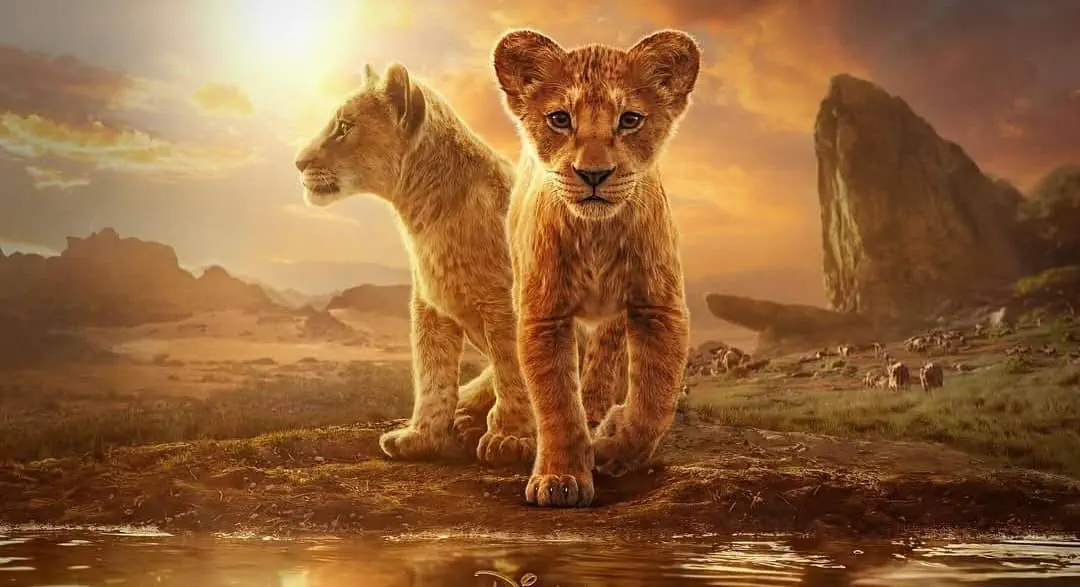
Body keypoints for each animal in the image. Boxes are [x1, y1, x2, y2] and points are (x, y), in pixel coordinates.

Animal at [293, 62, 538, 465]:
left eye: (344, 126)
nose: (298, 163)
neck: (425, 213)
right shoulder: (429, 303)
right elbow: (432, 370)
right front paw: (421, 436)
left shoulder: (507, 300)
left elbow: (513, 366)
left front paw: (510, 437)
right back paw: (466, 418)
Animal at [493, 29, 699, 507]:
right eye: (560, 119)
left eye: (630, 119)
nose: (593, 174)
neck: (596, 234)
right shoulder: (542, 314)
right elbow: (555, 403)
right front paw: (559, 478)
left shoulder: (659, 307)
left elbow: (655, 401)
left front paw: (611, 445)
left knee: (605, 360)